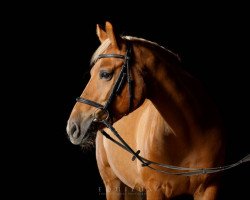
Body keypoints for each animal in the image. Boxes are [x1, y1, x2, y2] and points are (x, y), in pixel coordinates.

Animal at [67, 21, 227, 198]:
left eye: (105, 74)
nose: (72, 127)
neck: (189, 134)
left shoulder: (209, 188)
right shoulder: (155, 189)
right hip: (113, 184)